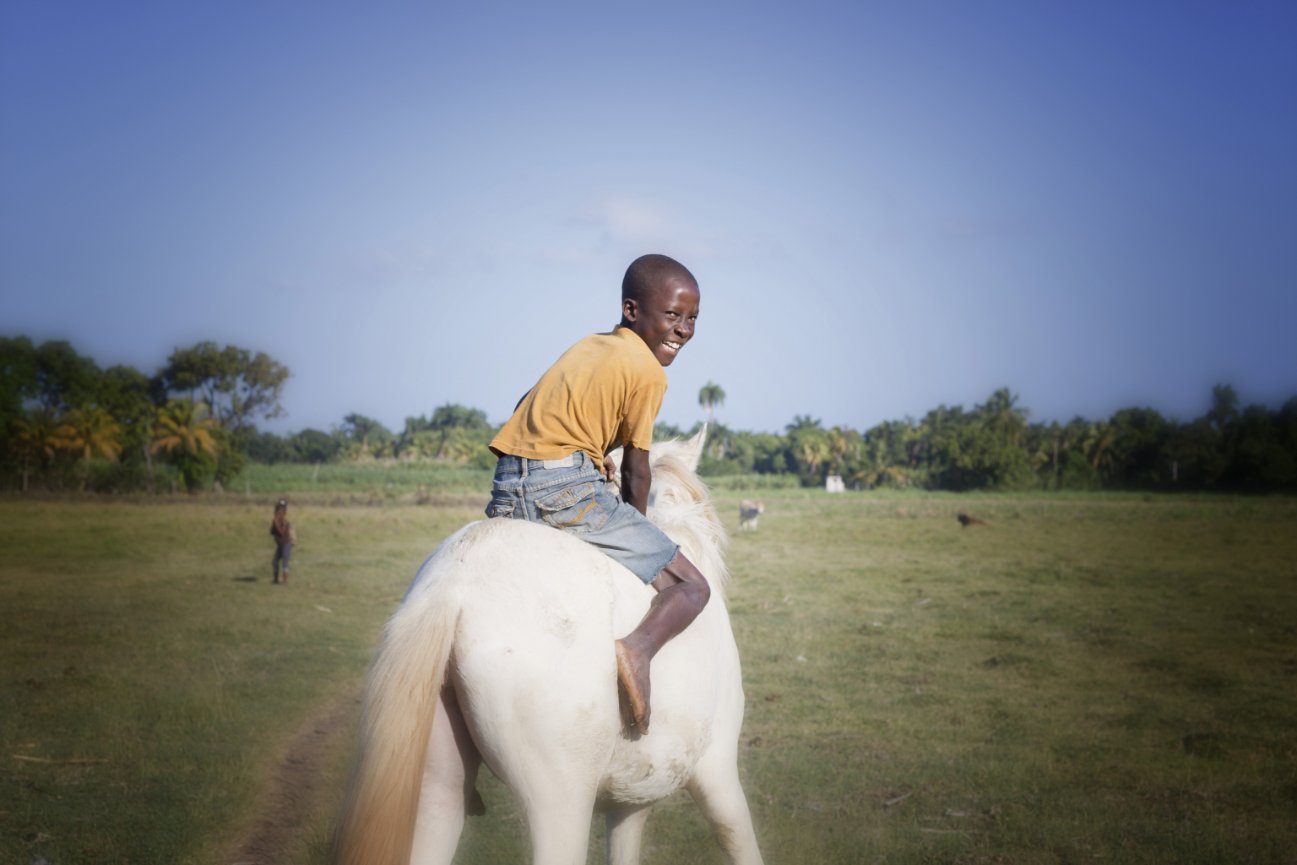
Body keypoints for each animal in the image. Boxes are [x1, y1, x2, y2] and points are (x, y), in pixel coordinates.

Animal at [330, 429, 765, 865]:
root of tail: (456, 581)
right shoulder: (718, 772)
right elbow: (740, 841)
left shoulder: (630, 801)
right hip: (559, 797)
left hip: (435, 785)